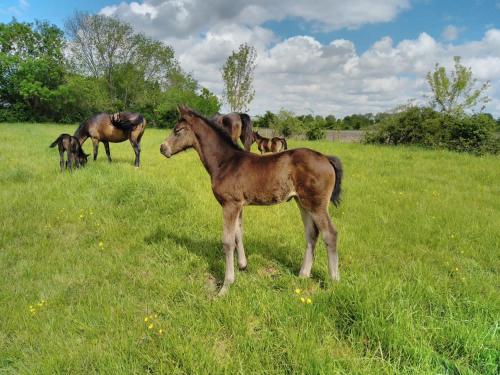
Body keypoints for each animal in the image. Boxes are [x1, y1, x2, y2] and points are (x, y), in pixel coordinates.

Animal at [160, 106, 344, 296]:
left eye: (178, 130)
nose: (162, 148)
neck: (225, 162)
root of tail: (326, 158)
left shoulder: (230, 204)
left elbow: (227, 241)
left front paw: (225, 286)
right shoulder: (238, 205)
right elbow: (238, 233)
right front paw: (242, 265)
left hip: (316, 204)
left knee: (330, 234)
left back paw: (334, 280)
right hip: (302, 203)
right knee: (312, 233)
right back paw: (303, 275)